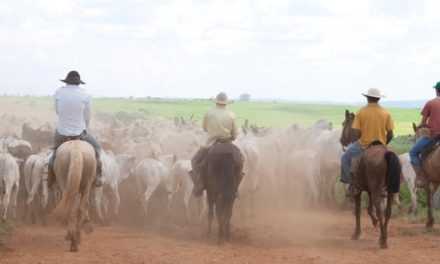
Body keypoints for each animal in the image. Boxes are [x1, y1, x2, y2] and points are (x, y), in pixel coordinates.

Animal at [340, 110, 402, 249]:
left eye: (343, 123)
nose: (341, 140)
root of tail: (386, 153)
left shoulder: (358, 191)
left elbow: (358, 211)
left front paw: (356, 233)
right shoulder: (369, 190)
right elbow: (369, 208)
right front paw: (375, 221)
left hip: (375, 189)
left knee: (380, 210)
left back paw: (383, 241)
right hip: (388, 190)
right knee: (387, 212)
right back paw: (382, 238)